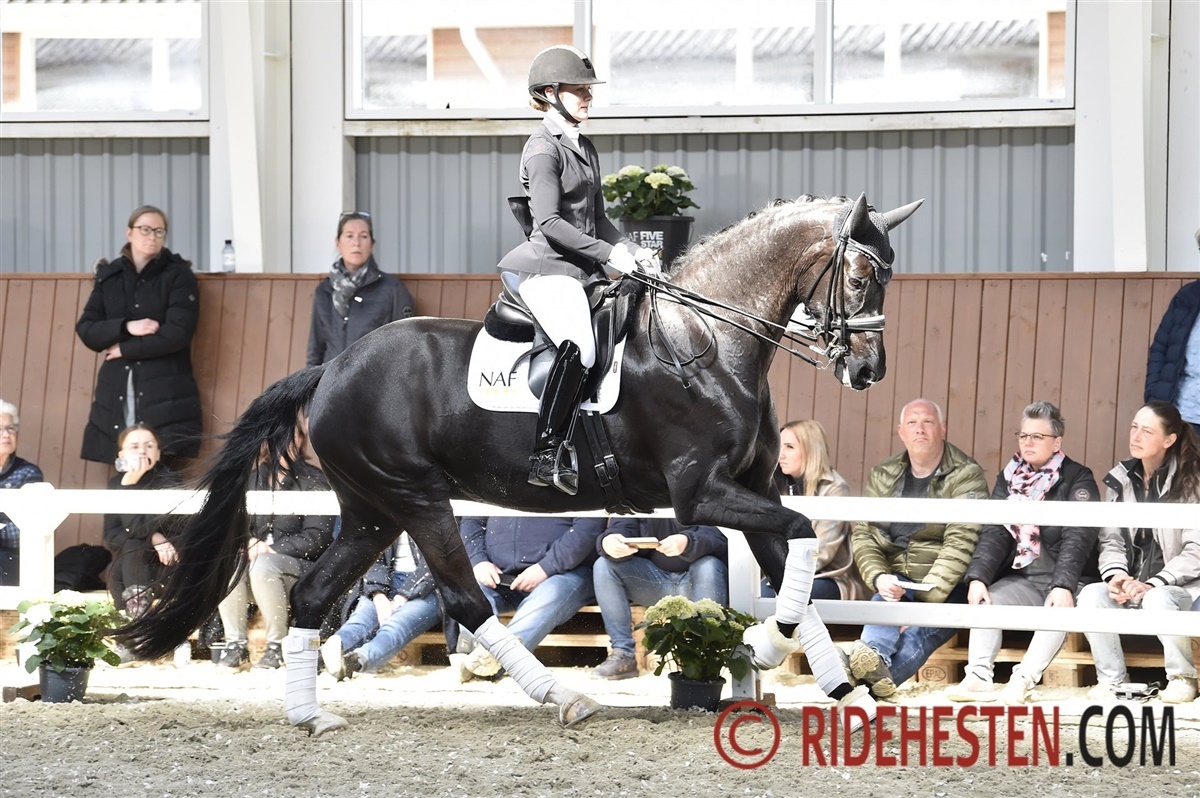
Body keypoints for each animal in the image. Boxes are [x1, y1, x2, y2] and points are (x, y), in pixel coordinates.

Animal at [118, 193, 921, 736]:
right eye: (861, 279)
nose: (869, 371)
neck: (708, 338)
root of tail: (333, 367)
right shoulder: (703, 494)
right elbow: (803, 540)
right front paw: (761, 641)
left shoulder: (749, 491)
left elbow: (802, 572)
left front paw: (842, 690)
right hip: (416, 499)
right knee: (466, 601)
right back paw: (565, 698)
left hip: (372, 510)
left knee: (316, 596)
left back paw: (310, 716)